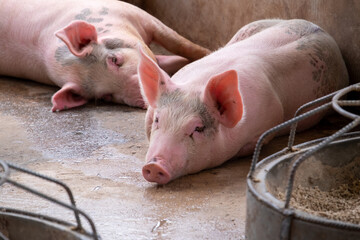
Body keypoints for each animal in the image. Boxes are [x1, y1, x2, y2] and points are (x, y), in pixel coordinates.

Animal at [0, 0, 210, 111]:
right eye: (106, 96)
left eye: (115, 60)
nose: (145, 98)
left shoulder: (135, 14)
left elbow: (180, 44)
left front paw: (206, 55)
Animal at [137, 19, 348, 184]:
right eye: (157, 120)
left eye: (198, 128)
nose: (154, 166)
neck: (197, 85)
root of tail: (319, 27)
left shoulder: (265, 126)